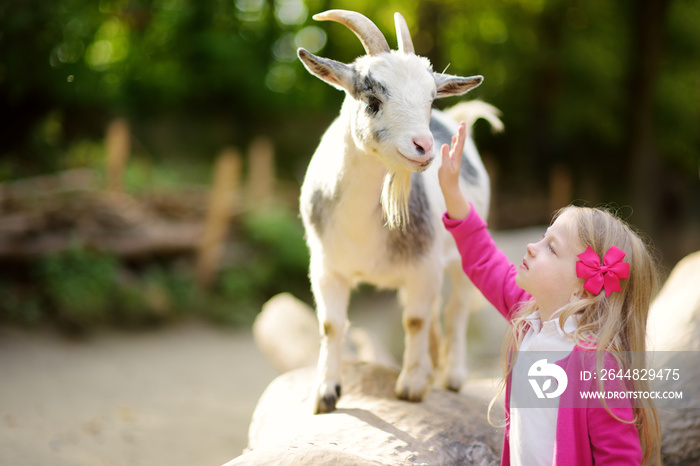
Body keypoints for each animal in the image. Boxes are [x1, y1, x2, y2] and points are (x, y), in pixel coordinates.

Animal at [298, 9, 500, 414]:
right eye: (372, 98)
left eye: (430, 99)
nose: (423, 145)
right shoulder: (327, 268)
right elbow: (332, 325)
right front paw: (325, 393)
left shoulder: (424, 267)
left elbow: (416, 321)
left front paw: (412, 385)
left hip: (458, 259)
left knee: (456, 310)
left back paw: (451, 375)